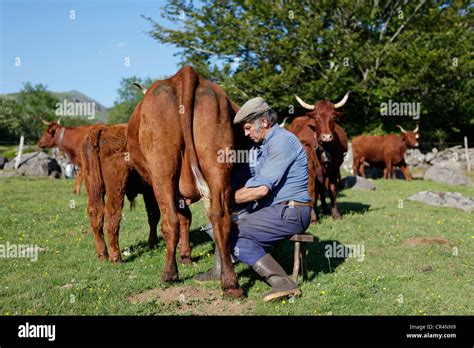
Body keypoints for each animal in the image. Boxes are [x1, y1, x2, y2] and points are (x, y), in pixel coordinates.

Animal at [128, 65, 243, 296]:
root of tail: (186, 74)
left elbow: (177, 217)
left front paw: (183, 257)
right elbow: (186, 217)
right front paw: (186, 256)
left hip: (162, 171)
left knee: (170, 221)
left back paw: (169, 274)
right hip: (217, 166)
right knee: (220, 217)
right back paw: (230, 283)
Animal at [294, 91, 350, 219]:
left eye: (333, 117)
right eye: (317, 118)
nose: (327, 136)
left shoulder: (334, 169)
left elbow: (332, 190)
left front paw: (336, 214)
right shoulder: (314, 170)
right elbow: (313, 191)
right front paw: (313, 215)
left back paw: (325, 209)